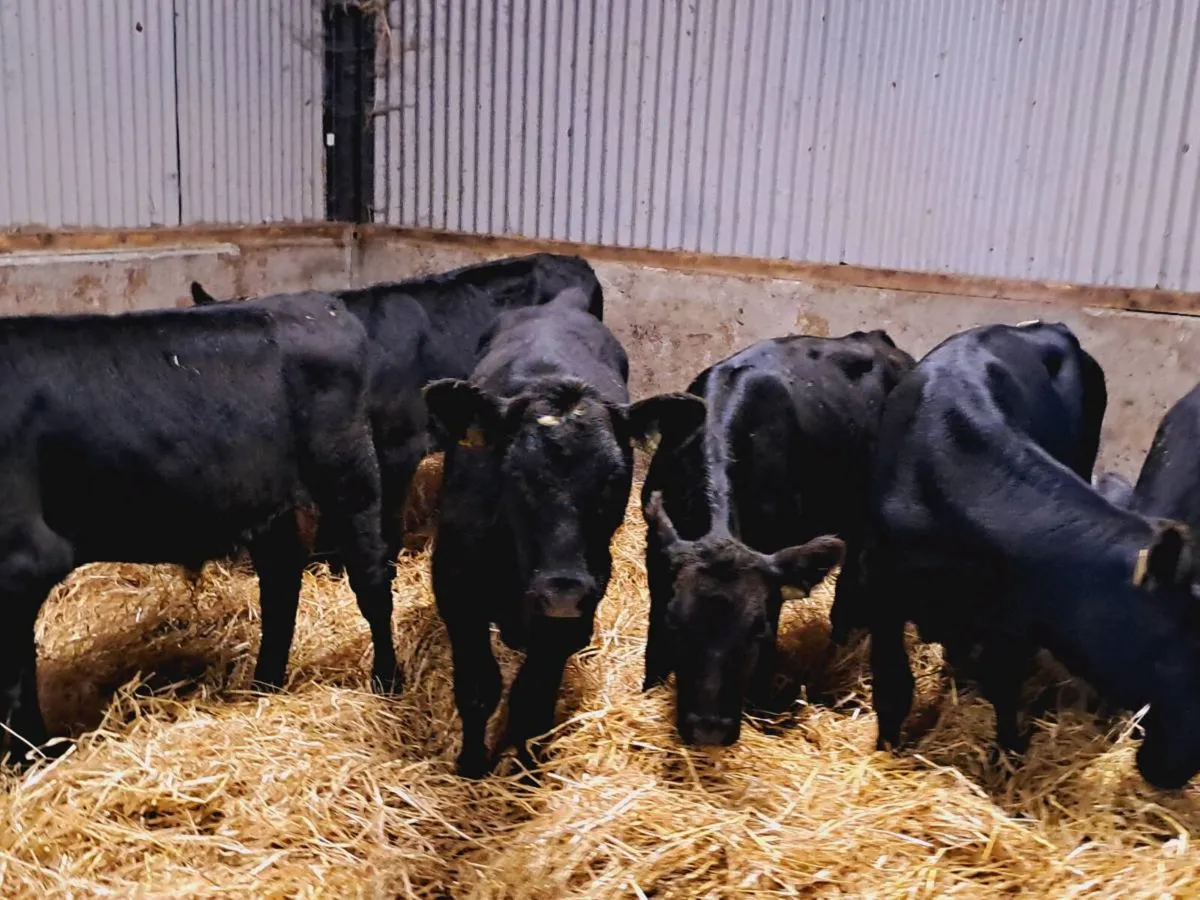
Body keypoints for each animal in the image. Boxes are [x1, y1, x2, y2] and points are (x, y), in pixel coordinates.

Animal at [0, 295, 399, 763]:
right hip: (274, 504)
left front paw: (29, 756)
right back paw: (263, 687)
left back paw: (388, 682)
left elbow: (14, 678)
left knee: (371, 582)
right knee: (281, 586)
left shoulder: (23, 560)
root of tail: (322, 304)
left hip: (349, 478)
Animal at [423, 288, 705, 777]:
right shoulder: (458, 592)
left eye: (615, 478)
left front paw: (525, 772)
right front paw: (472, 765)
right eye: (515, 473)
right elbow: (478, 690)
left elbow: (532, 701)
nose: (562, 590)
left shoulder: (569, 611)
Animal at [861, 322, 1200, 789]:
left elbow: (1004, 687)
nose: (1179, 767)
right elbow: (893, 684)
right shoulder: (882, 589)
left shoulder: (1014, 618)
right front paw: (887, 749)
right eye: (1184, 643)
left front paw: (1007, 756)